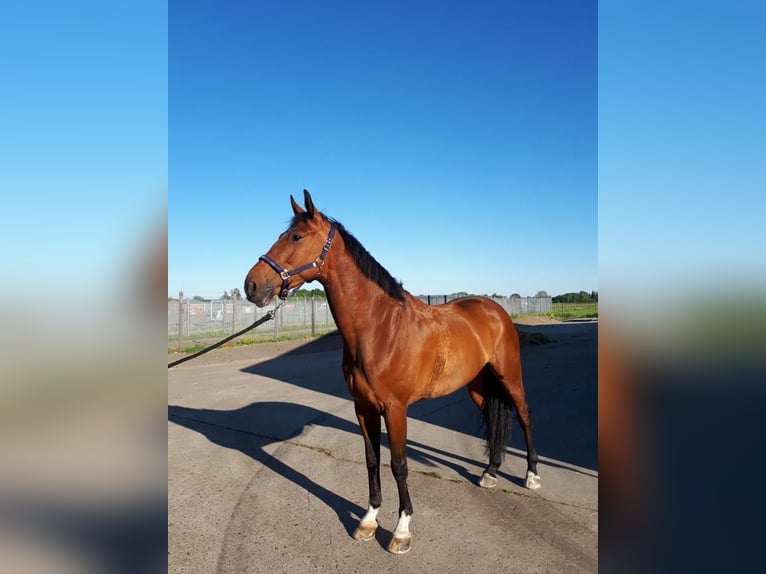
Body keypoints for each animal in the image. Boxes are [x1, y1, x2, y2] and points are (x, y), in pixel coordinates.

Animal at [244, 191, 540, 556]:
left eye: (296, 237)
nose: (252, 285)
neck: (380, 328)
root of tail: (495, 309)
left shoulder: (396, 409)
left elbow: (399, 465)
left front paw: (401, 531)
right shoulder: (364, 407)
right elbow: (372, 459)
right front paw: (368, 521)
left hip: (510, 376)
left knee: (524, 415)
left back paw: (531, 476)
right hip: (477, 387)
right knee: (494, 418)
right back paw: (491, 472)